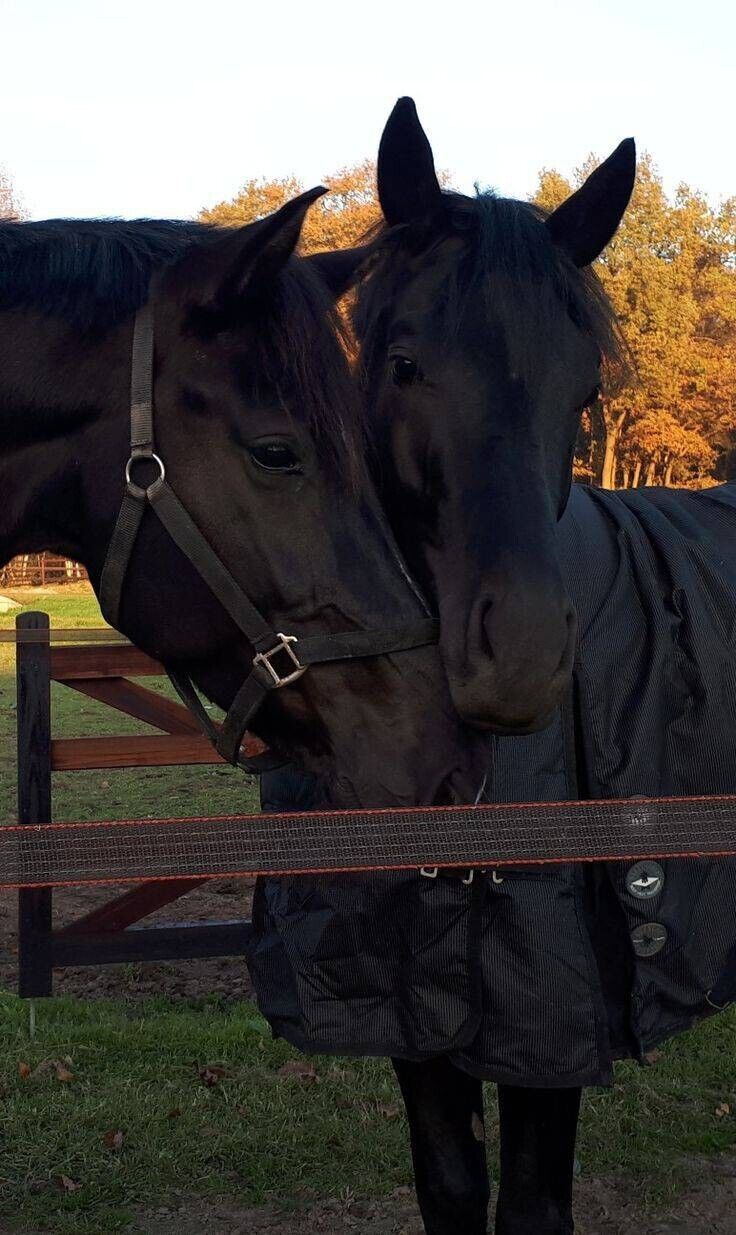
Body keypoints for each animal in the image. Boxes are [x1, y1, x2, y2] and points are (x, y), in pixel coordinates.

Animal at [269, 102, 734, 1234]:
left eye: (587, 385)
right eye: (402, 364)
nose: (518, 660)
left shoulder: (552, 1021)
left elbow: (528, 1204)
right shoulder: (412, 1010)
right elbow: (449, 1185)